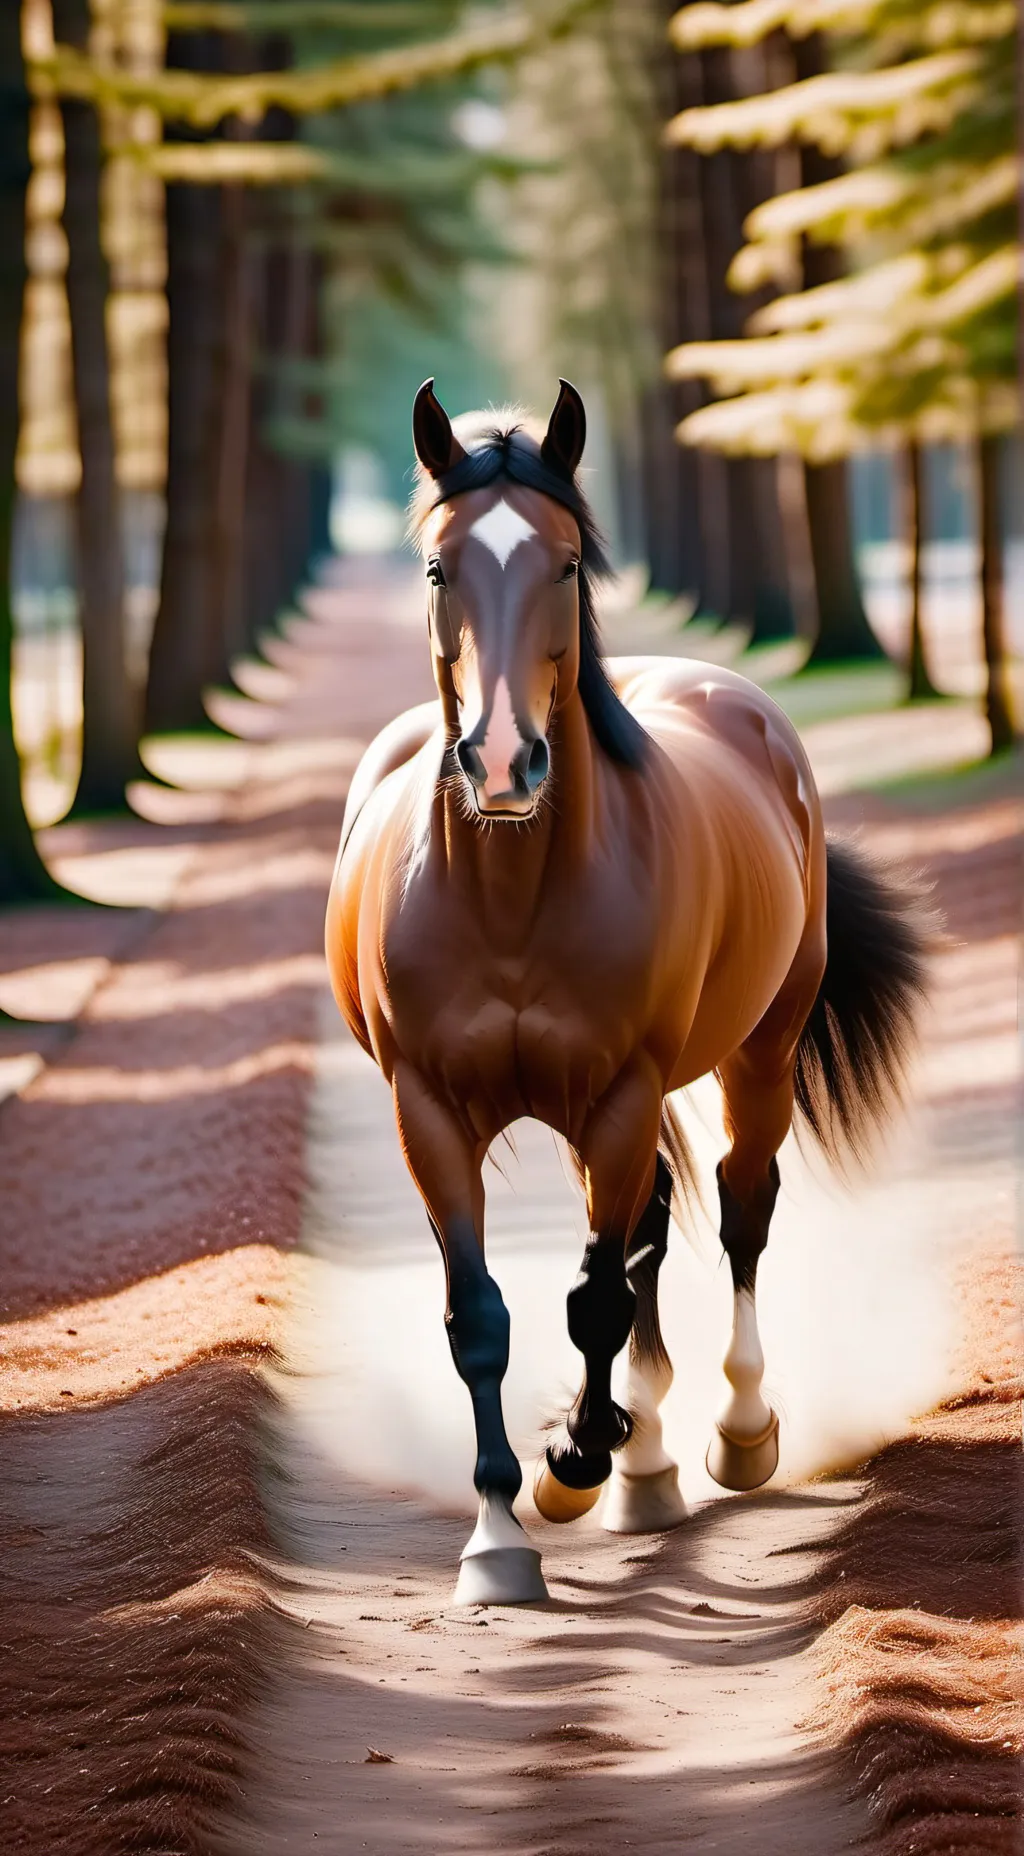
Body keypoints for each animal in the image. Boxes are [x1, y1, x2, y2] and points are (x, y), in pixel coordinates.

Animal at [325, 378, 928, 1606]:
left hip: (756, 1053)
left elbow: (599, 1292)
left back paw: (730, 1435)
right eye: (438, 567)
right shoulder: (430, 1113)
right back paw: (643, 1459)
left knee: (739, 1209)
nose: (502, 763)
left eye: (563, 562)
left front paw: (574, 1458)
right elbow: (481, 1316)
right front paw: (501, 1535)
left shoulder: (618, 1095)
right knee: (650, 1223)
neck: (510, 899)